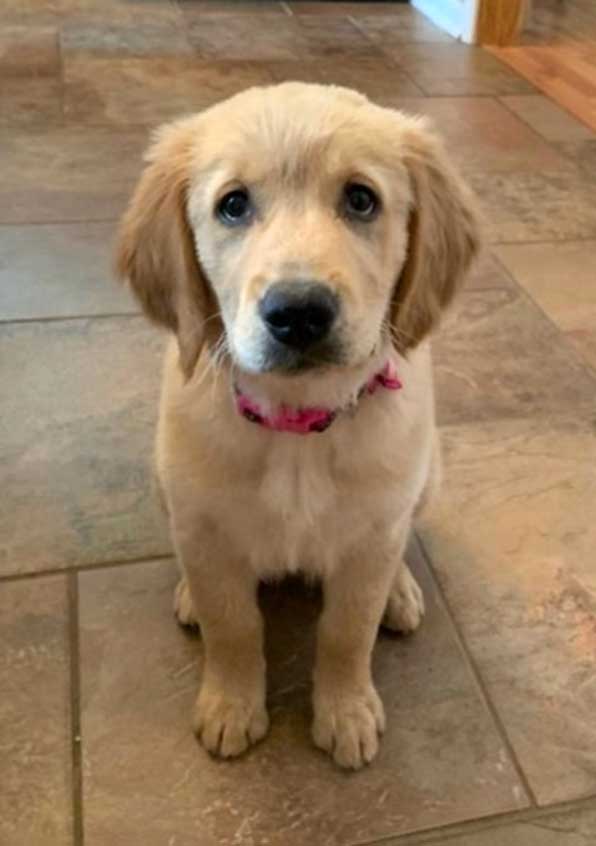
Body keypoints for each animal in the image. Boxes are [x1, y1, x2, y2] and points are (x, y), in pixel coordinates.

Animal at [116, 82, 481, 770]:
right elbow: (233, 625)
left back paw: (400, 592)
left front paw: (346, 711)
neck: (297, 423)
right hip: (160, 482)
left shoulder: (372, 532)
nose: (299, 312)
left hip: (429, 478)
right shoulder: (204, 525)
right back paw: (188, 596)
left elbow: (347, 630)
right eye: (233, 205)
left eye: (361, 199)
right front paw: (230, 705)